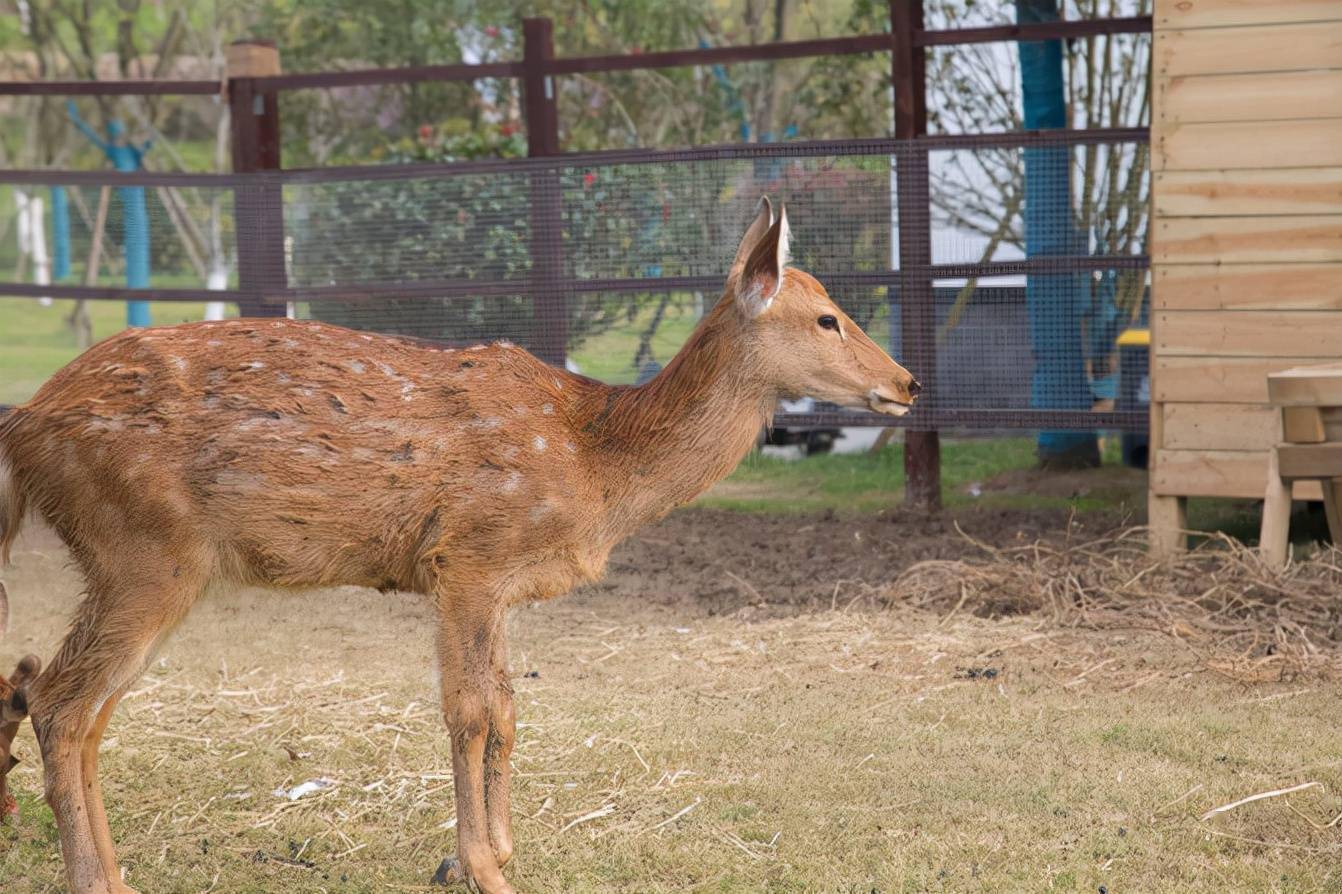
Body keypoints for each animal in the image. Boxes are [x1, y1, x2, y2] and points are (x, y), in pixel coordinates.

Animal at [0, 197, 917, 891]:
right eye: (828, 317)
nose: (906, 383)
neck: (597, 464)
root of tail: (25, 425)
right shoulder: (469, 556)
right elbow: (469, 711)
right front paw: (482, 866)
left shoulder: (500, 583)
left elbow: (508, 709)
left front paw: (492, 852)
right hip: (141, 545)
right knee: (60, 700)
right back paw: (96, 880)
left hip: (149, 565)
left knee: (82, 705)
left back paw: (115, 871)